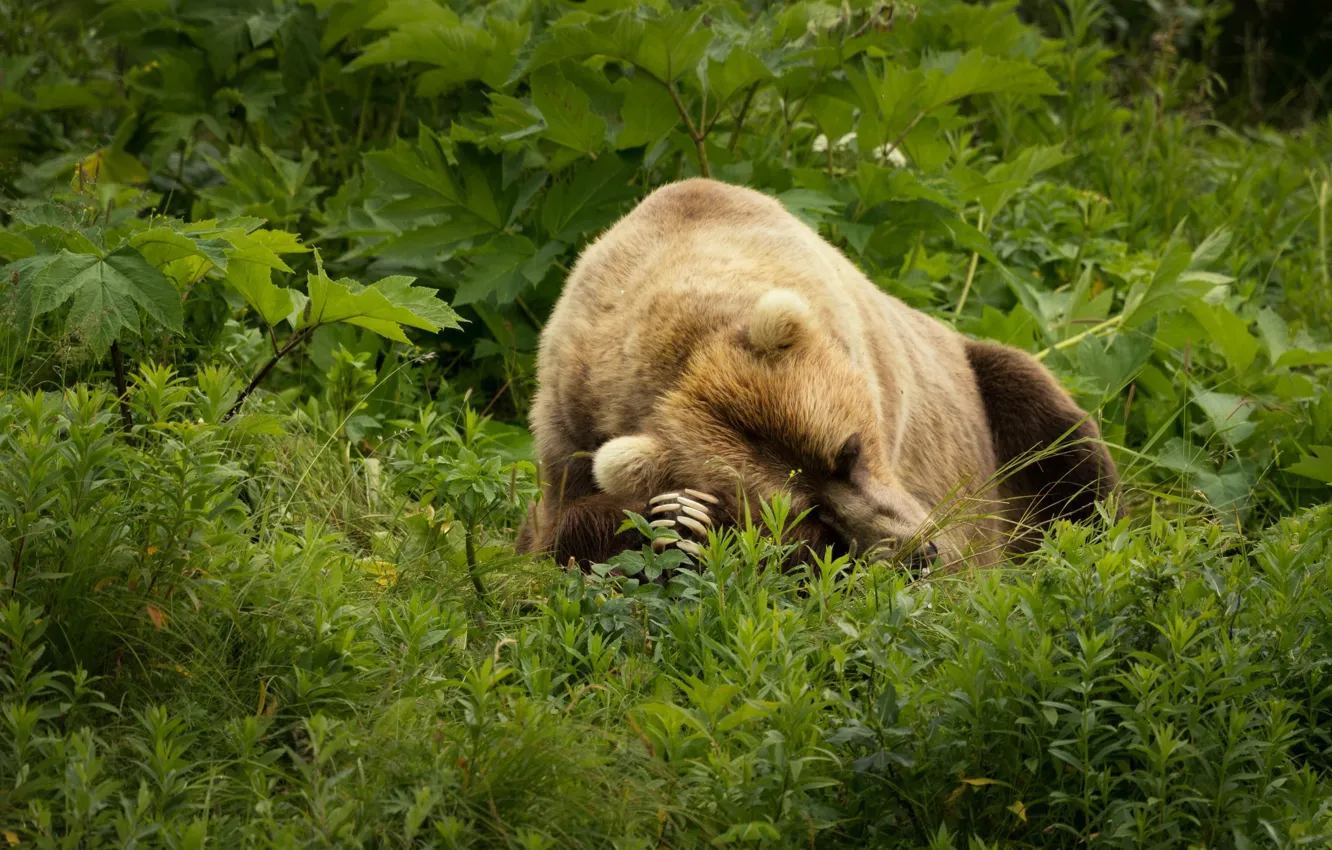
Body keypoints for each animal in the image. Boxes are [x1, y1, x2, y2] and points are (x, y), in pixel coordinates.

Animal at [514, 178, 1118, 572]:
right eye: (804, 507)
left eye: (848, 451)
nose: (920, 552)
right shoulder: (569, 420)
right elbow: (552, 532)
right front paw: (676, 515)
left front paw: (690, 517)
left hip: (988, 387)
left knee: (1064, 448)